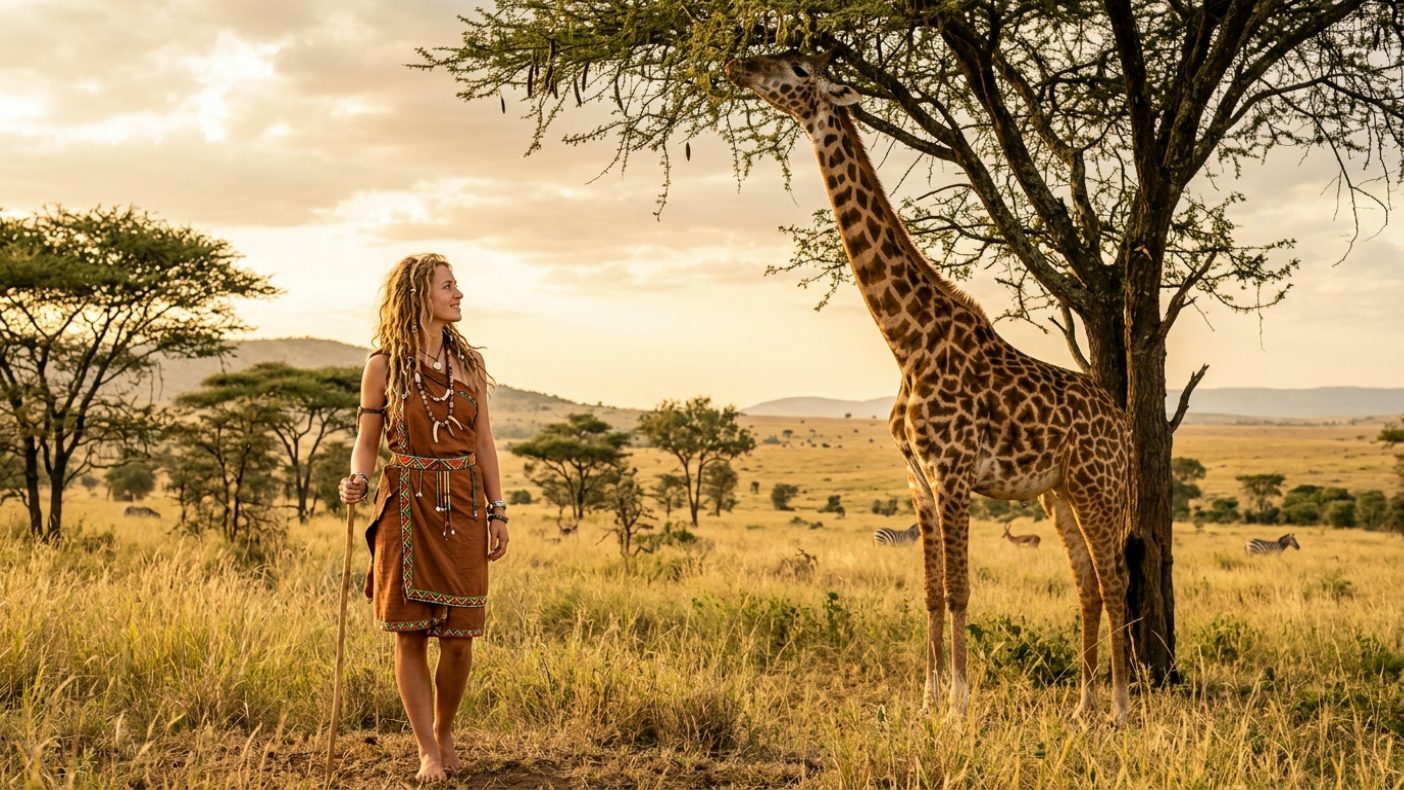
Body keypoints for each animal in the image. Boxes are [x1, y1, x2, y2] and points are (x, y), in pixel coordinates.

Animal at [726, 51, 1133, 723]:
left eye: (799, 67)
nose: (741, 64)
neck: (907, 341)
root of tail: (1123, 423)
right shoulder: (916, 480)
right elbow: (931, 594)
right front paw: (926, 700)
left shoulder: (953, 472)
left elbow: (962, 590)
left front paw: (960, 706)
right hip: (1058, 494)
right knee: (1089, 586)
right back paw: (1083, 706)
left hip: (1097, 486)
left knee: (1115, 579)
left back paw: (1121, 708)